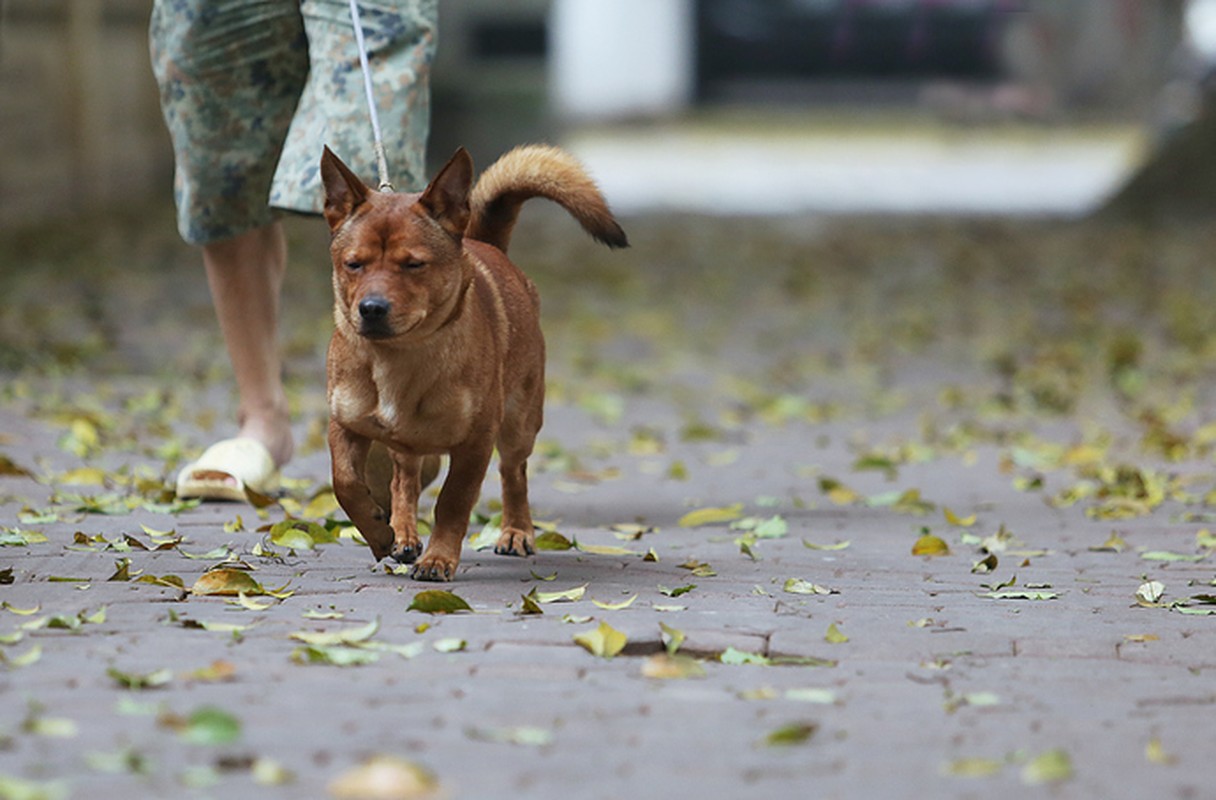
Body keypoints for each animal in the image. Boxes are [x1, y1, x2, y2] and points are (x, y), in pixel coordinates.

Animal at [321, 144, 627, 578]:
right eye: (353, 264)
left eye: (413, 264)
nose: (372, 309)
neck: (398, 357)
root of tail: (490, 246)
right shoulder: (344, 425)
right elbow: (344, 482)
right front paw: (380, 533)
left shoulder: (475, 443)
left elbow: (453, 502)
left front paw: (438, 559)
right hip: (407, 445)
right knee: (404, 479)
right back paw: (404, 532)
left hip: (519, 425)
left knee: (514, 474)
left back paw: (516, 532)